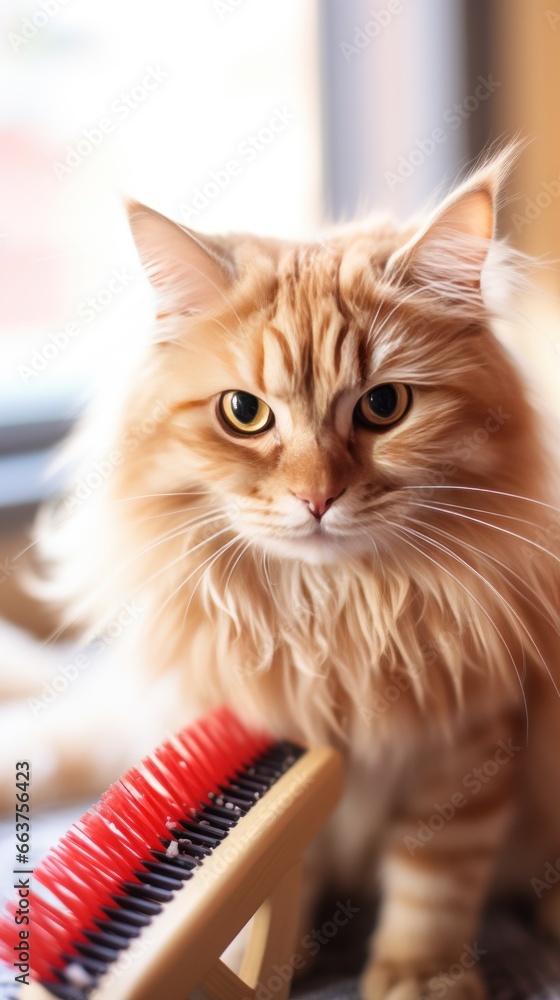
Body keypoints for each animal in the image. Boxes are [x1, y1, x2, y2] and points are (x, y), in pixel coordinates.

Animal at [3, 150, 560, 1000]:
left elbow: (433, 883)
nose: (317, 497)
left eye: (385, 406)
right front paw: (258, 960)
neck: (337, 614)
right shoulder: (264, 733)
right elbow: (275, 894)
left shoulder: (472, 747)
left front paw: (420, 976)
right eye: (244, 413)